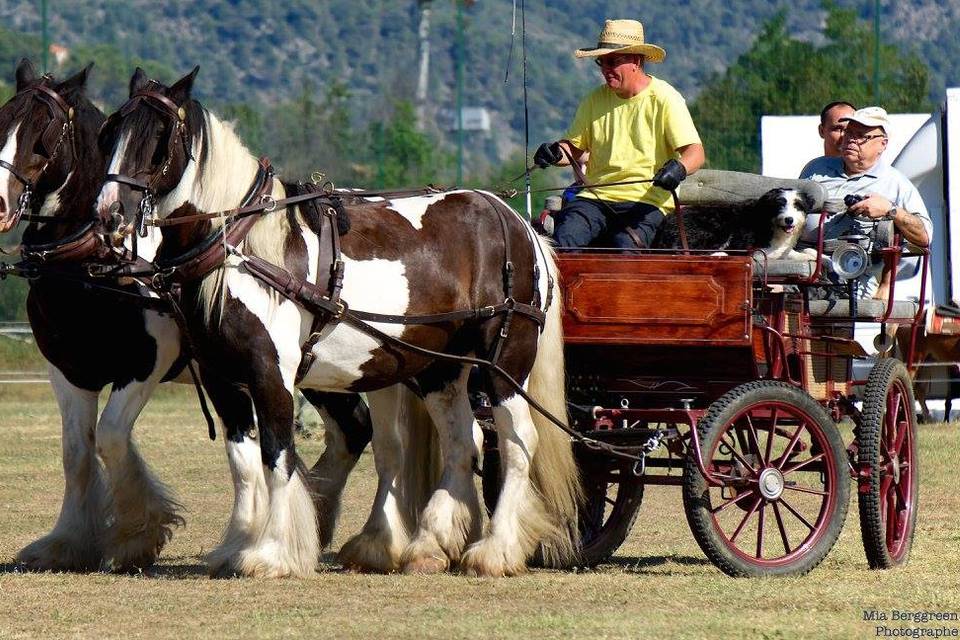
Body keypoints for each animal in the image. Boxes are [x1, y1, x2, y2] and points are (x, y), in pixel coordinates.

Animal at [0, 58, 376, 568]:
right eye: (2, 120)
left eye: (44, 131)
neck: (97, 263)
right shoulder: (68, 370)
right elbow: (77, 453)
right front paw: (67, 541)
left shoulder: (146, 363)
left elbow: (111, 436)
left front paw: (138, 533)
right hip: (321, 369)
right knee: (353, 428)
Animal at [97, 67, 580, 576]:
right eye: (109, 133)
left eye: (157, 140)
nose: (109, 213)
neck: (243, 249)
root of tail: (518, 223)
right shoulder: (222, 379)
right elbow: (243, 464)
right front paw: (237, 545)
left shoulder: (271, 375)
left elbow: (277, 459)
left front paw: (272, 552)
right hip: (440, 369)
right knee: (460, 442)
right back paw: (429, 544)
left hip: (504, 363)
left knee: (516, 443)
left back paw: (497, 548)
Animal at [652, 186, 816, 258]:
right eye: (779, 205)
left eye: (798, 205)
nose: (789, 220)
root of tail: (666, 221)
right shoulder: (752, 248)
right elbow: (780, 252)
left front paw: (814, 254)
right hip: (717, 228)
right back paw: (720, 254)